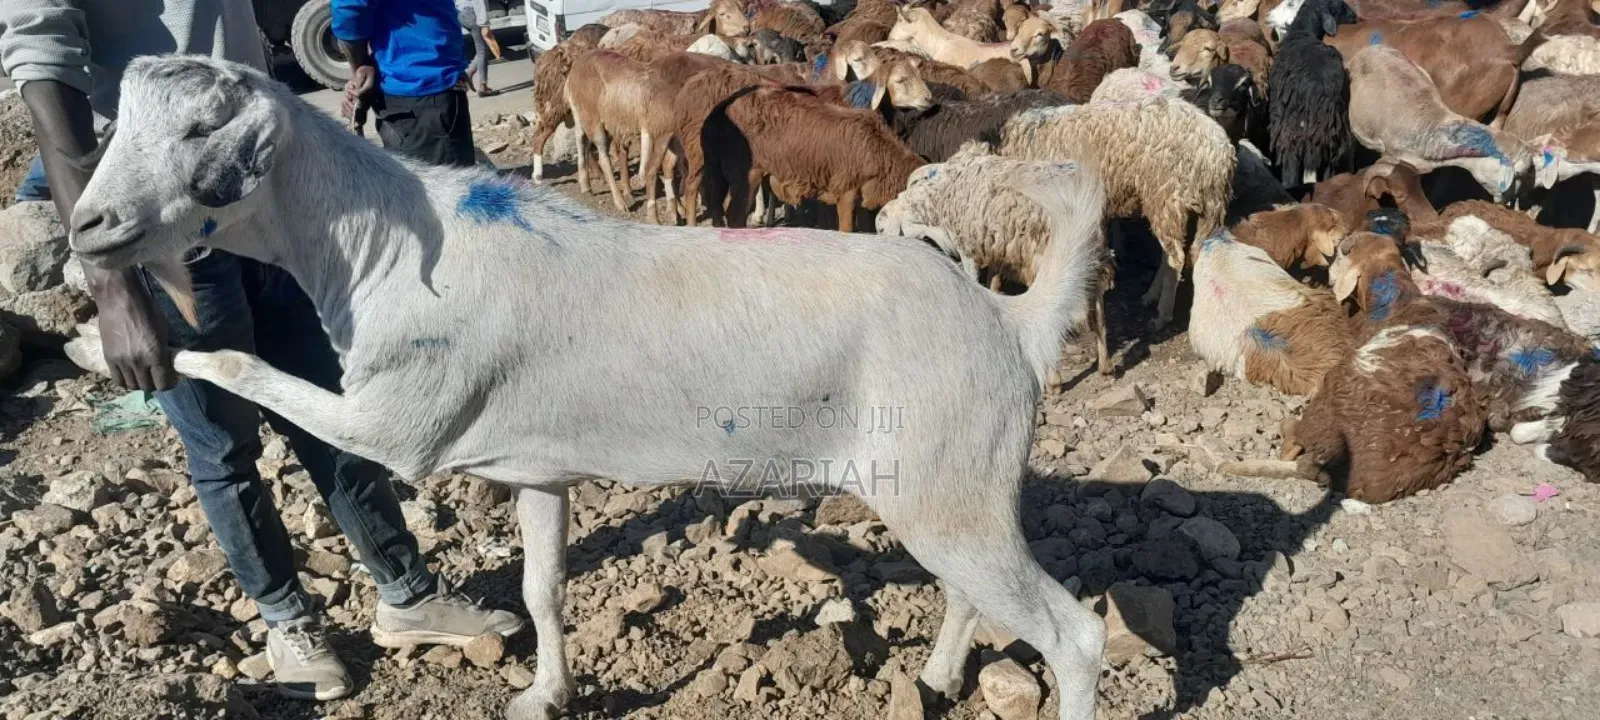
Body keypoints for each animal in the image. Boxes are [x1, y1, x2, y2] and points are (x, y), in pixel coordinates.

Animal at [66, 54, 1113, 720]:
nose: (88, 228)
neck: (382, 247)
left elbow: (254, 370)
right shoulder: (535, 467)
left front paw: (128, 350)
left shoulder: (397, 423)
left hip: (947, 486)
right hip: (947, 489)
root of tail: (1015, 325)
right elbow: (541, 592)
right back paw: (935, 680)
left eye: (203, 127)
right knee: (972, 595)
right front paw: (543, 693)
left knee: (1072, 636)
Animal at [1266, 0, 1359, 186]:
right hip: (1331, 132)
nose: (1355, 17)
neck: (1303, 33)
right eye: (1339, 6)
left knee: (1291, 167)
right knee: (1328, 169)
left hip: (1293, 128)